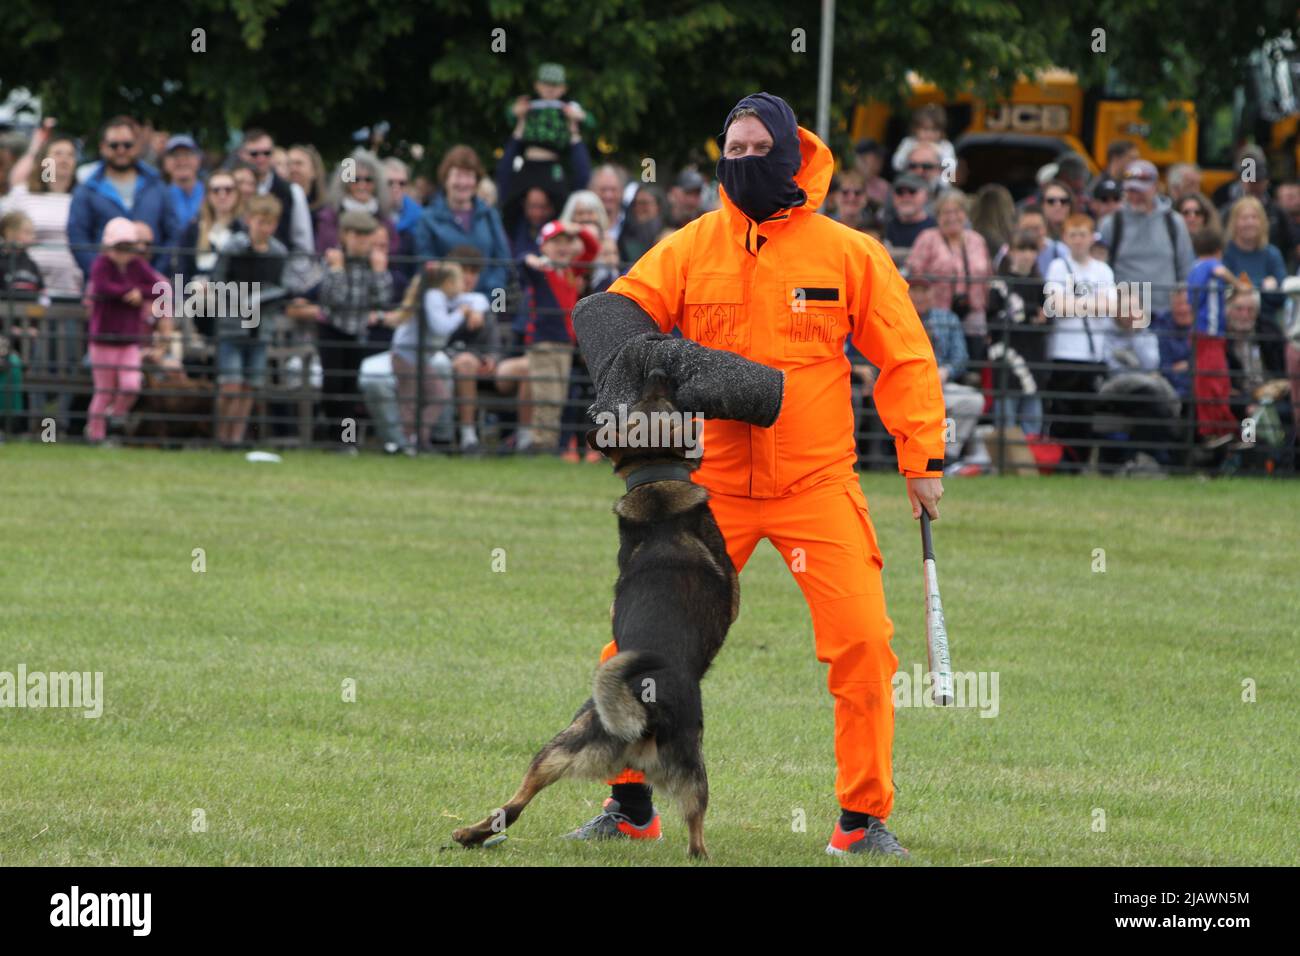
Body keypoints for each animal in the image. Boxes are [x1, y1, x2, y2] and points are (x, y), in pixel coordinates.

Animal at [454, 369, 743, 858]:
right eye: (653, 395)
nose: (657, 371)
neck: (657, 490)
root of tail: (642, 716)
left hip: (572, 754)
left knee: (515, 806)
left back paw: (470, 834)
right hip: (635, 755)